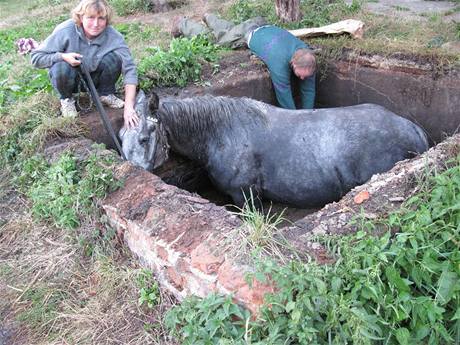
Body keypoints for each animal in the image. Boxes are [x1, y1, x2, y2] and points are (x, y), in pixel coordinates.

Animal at [118, 90, 428, 206]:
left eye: (144, 138)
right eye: (121, 138)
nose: (132, 179)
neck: (218, 132)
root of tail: (411, 127)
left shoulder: (245, 196)